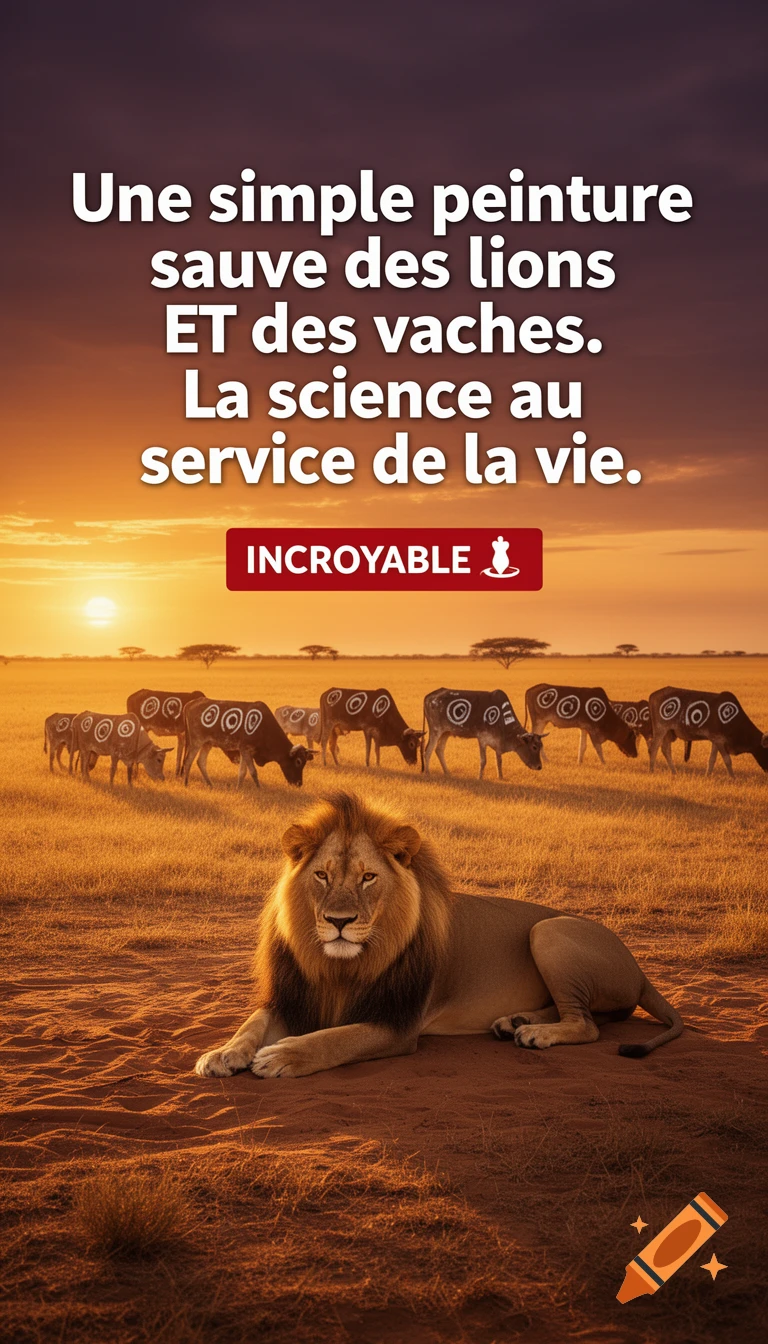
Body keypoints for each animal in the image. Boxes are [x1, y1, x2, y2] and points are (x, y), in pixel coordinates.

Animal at [182, 699, 313, 788]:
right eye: (298, 761)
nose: (299, 783)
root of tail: (190, 704)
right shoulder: (245, 749)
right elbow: (253, 771)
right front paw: (259, 788)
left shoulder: (244, 751)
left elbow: (242, 772)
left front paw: (238, 788)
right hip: (196, 742)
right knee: (188, 761)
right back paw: (186, 783)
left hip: (207, 743)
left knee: (201, 762)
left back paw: (210, 784)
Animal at [194, 792, 682, 1079]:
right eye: (322, 876)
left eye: (368, 877)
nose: (339, 921)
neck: (341, 967)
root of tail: (638, 968)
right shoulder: (294, 996)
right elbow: (252, 1023)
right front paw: (221, 1053)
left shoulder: (398, 1024)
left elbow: (334, 1039)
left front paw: (282, 1056)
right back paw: (516, 1022)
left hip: (550, 930)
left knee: (588, 1024)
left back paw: (536, 1034)